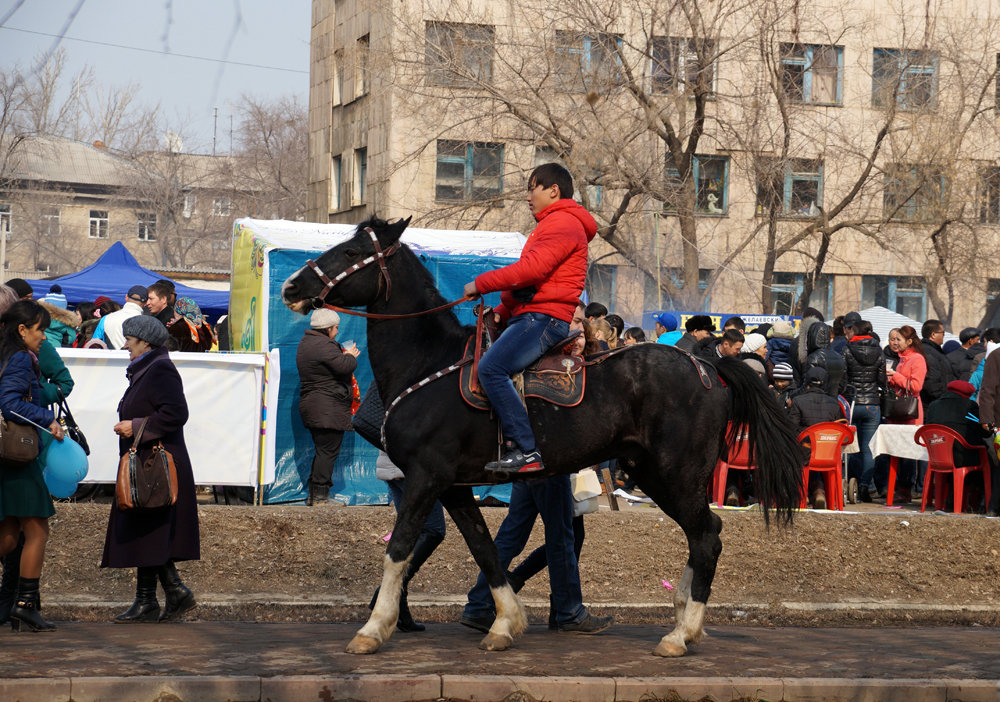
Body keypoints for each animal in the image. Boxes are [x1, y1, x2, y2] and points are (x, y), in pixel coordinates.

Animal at [282, 216, 804, 660]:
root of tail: (708, 366)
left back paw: (681, 633)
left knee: (707, 537)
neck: (429, 362)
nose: (292, 287)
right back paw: (684, 622)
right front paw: (504, 623)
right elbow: (486, 549)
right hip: (654, 473)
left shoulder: (426, 477)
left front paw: (374, 628)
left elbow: (399, 549)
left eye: (350, 251)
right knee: (702, 535)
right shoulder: (452, 486)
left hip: (675, 473)